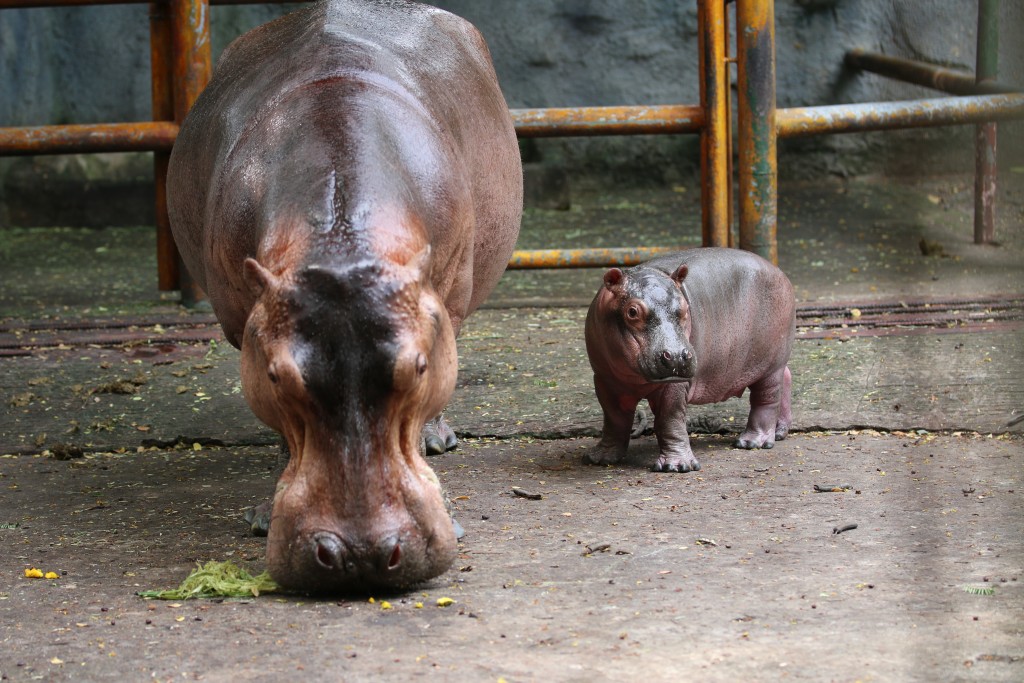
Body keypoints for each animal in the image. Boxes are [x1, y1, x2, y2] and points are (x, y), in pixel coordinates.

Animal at [585, 248, 790, 473]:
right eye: (632, 311)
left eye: (684, 307)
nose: (676, 355)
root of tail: (779, 272)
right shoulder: (604, 380)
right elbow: (613, 417)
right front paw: (601, 458)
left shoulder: (675, 384)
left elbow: (670, 420)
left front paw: (677, 466)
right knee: (786, 378)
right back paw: (779, 432)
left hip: (770, 364)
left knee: (766, 398)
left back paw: (751, 442)